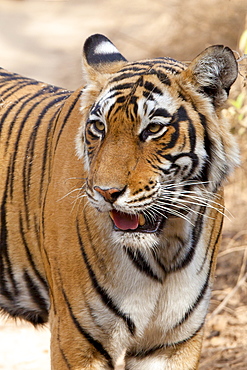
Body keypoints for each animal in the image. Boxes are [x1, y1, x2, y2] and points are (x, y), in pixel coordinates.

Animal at [0, 33, 239, 368]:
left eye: (153, 129)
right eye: (99, 127)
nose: (106, 192)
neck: (166, 249)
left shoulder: (173, 343)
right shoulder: (77, 339)